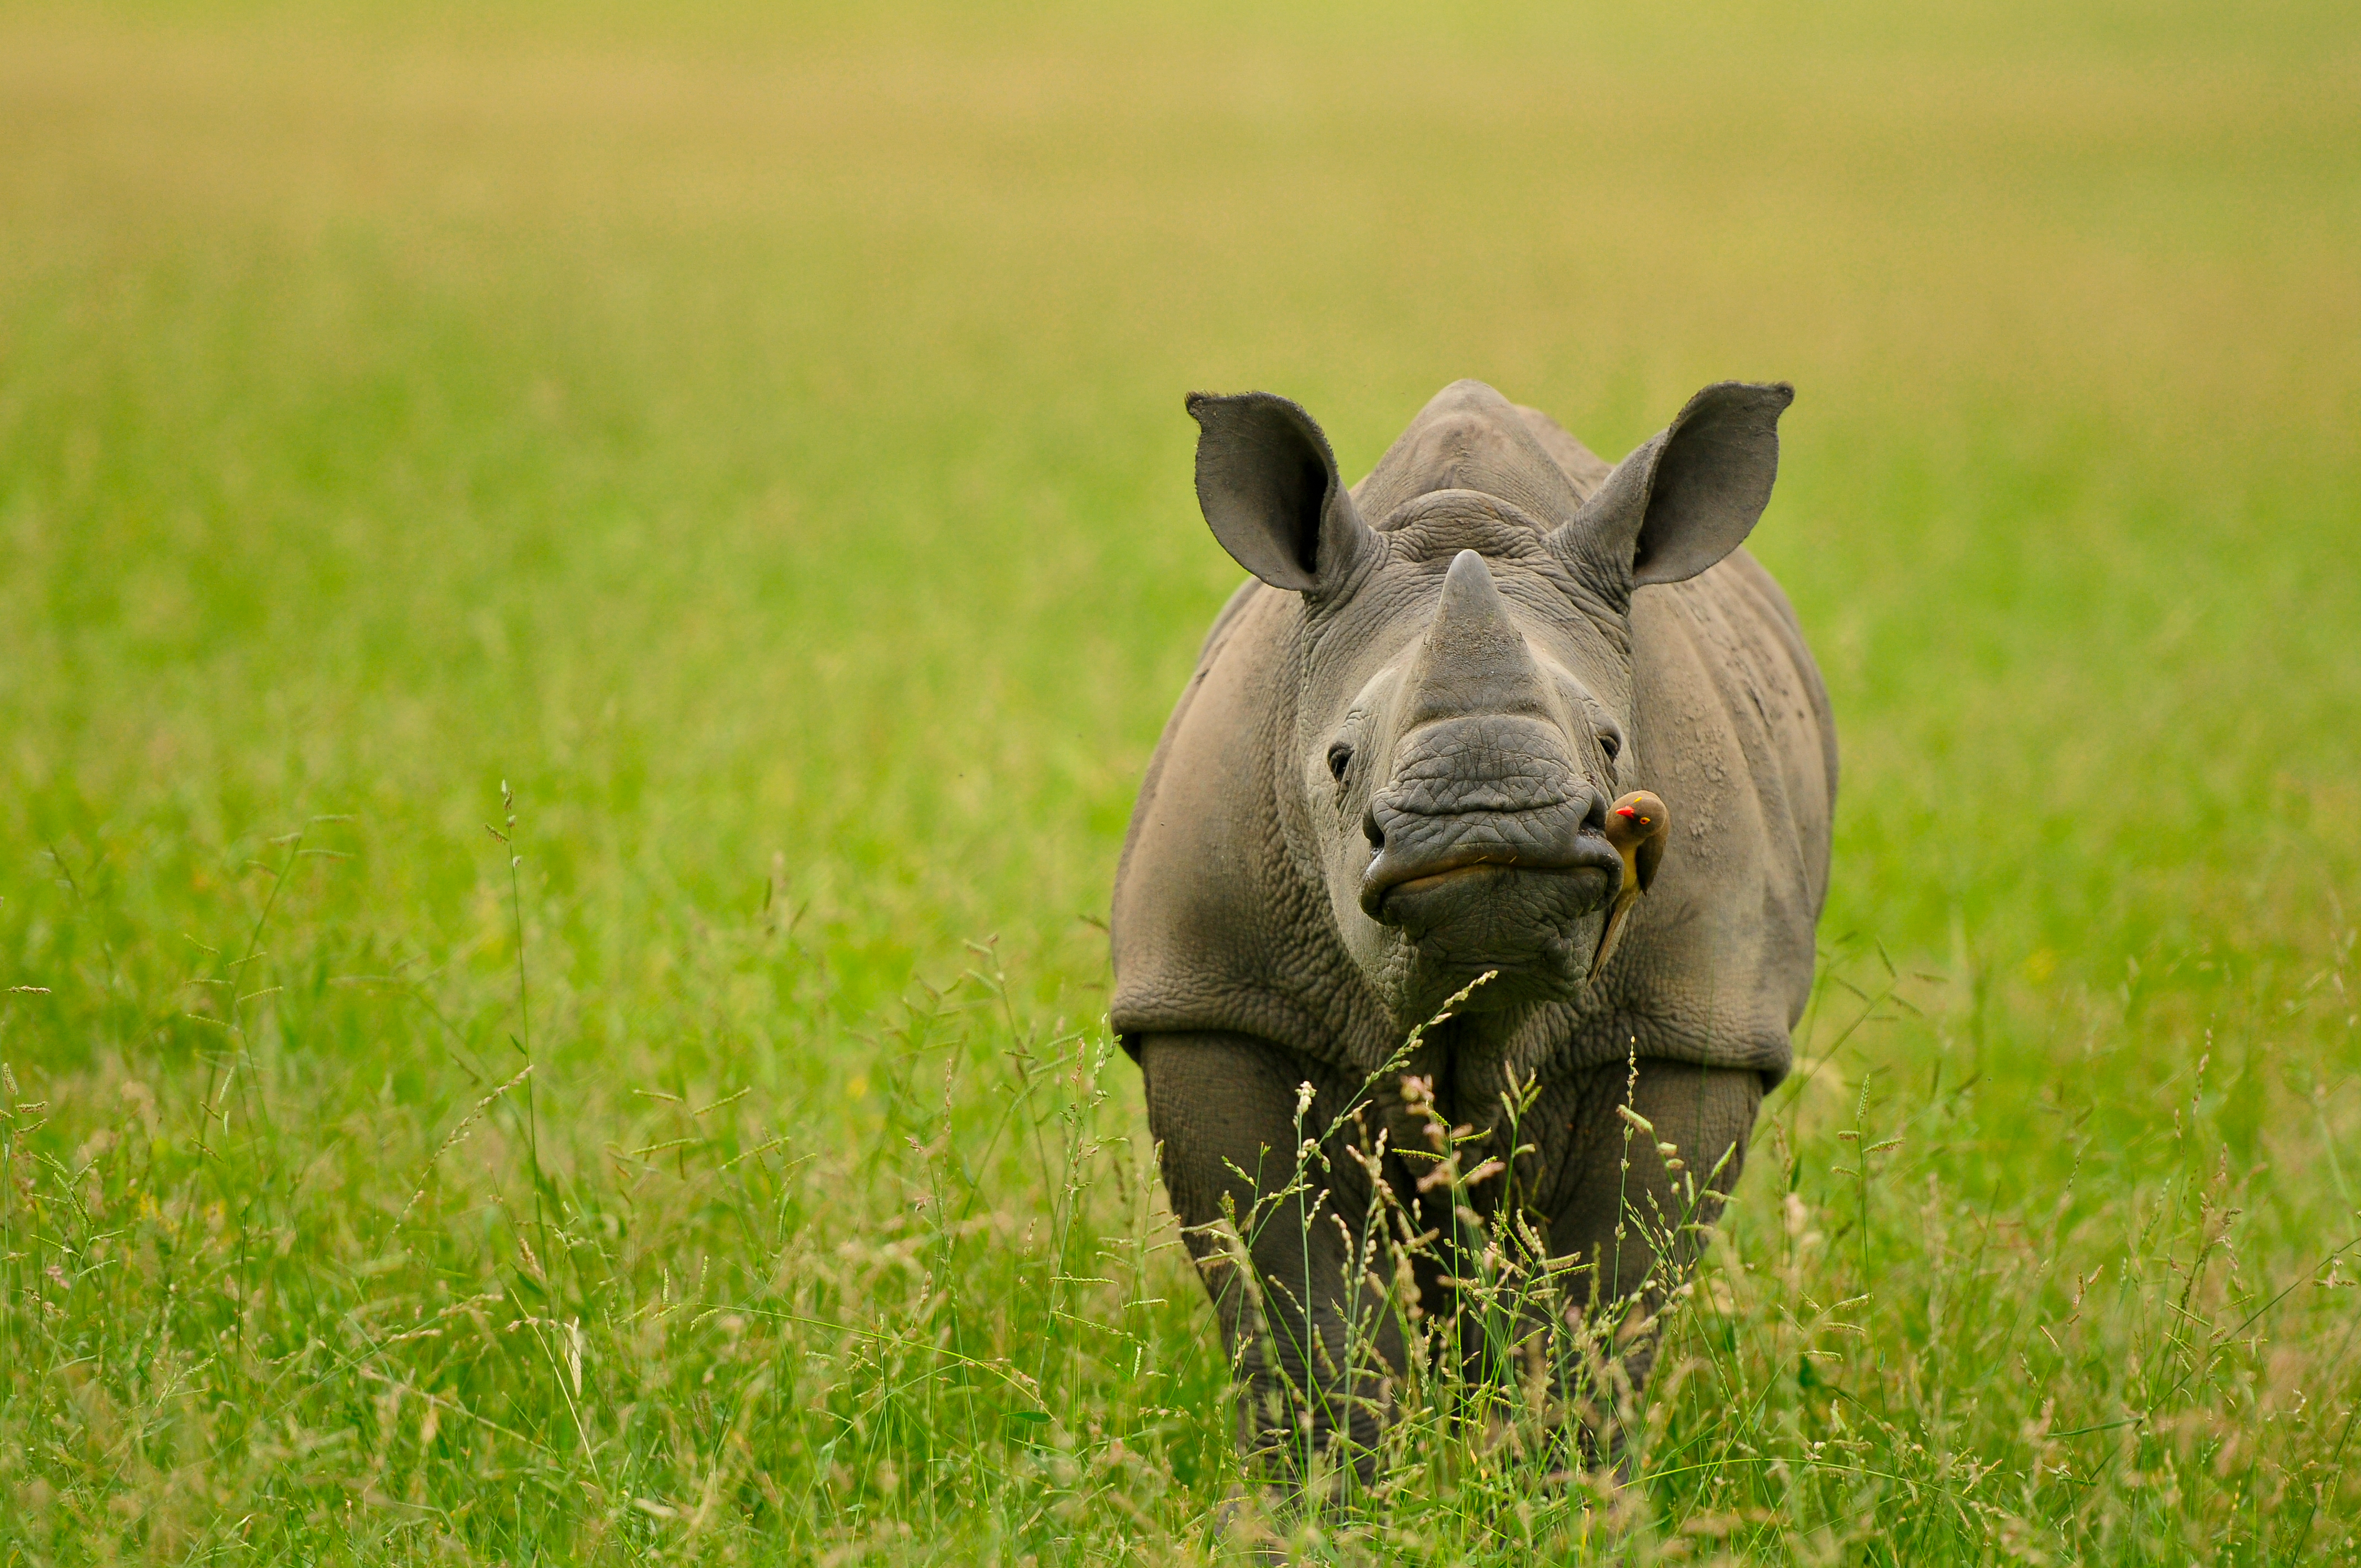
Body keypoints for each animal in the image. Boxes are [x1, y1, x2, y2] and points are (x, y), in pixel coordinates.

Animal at [1109, 378, 1836, 1482]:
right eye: (1336, 759)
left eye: (1611, 741)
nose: (1487, 823)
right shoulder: (1219, 1003)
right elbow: (1301, 1313)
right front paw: (1319, 1502)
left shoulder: (1690, 1026)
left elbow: (1607, 1301)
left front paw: (1568, 1495)